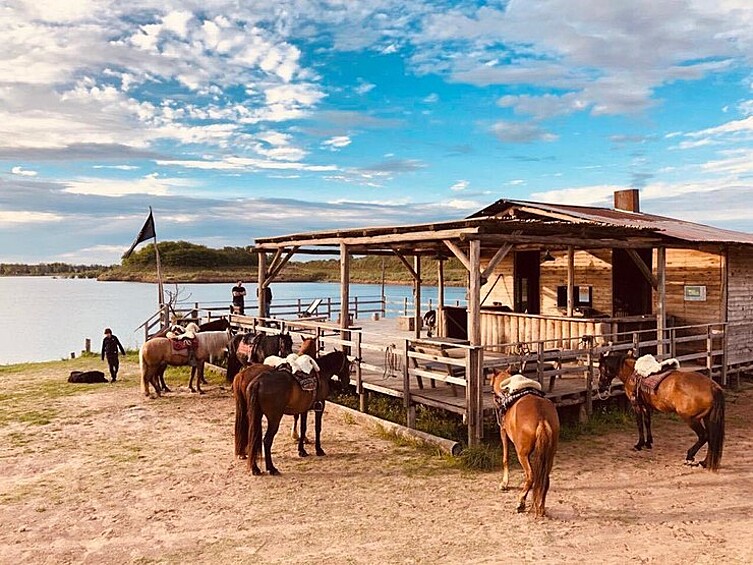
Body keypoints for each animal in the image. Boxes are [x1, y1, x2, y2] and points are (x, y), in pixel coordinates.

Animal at [247, 348, 352, 476]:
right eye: (347, 364)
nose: (347, 382)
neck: (322, 372)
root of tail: (258, 382)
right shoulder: (320, 406)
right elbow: (317, 428)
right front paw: (319, 450)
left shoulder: (304, 409)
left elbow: (303, 428)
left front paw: (301, 451)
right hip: (274, 418)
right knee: (267, 440)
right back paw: (272, 468)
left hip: (257, 416)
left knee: (253, 439)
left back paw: (255, 468)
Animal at [488, 368, 560, 516]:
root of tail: (542, 419)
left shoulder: (503, 431)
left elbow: (505, 458)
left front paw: (504, 483)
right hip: (549, 455)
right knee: (544, 479)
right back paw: (541, 507)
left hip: (522, 454)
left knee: (531, 477)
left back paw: (520, 502)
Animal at [596, 350, 724, 470]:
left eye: (601, 367)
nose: (600, 386)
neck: (632, 373)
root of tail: (712, 387)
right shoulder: (646, 406)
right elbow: (647, 422)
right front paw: (648, 442)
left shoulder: (636, 405)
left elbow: (640, 424)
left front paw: (639, 444)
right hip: (707, 418)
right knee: (711, 438)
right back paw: (705, 462)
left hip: (691, 419)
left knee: (704, 436)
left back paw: (690, 455)